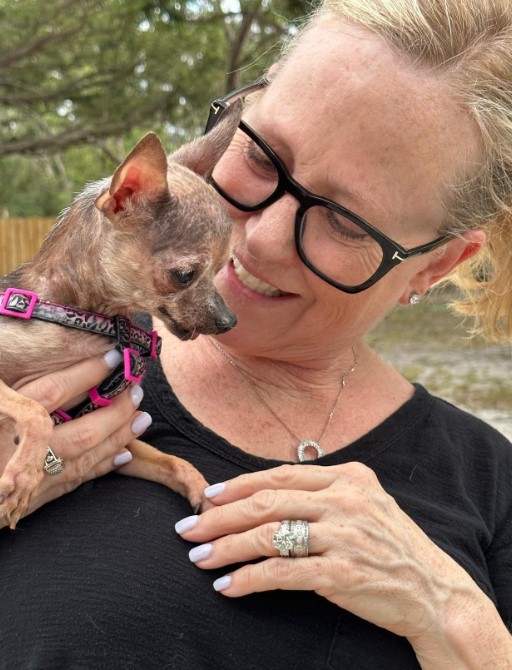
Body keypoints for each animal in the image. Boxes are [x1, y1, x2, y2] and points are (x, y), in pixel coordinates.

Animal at [0, 101, 241, 532]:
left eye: (222, 269)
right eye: (184, 275)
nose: (229, 321)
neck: (89, 319)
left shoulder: (121, 447)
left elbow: (172, 461)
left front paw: (205, 493)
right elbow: (35, 412)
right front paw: (24, 477)